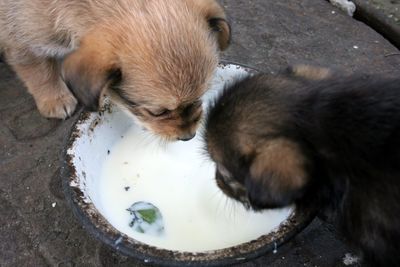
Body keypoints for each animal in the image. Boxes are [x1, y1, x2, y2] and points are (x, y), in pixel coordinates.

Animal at [0, 0, 231, 141]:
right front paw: (54, 98)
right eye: (158, 112)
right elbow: (38, 71)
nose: (188, 136)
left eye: (201, 96)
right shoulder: (21, 40)